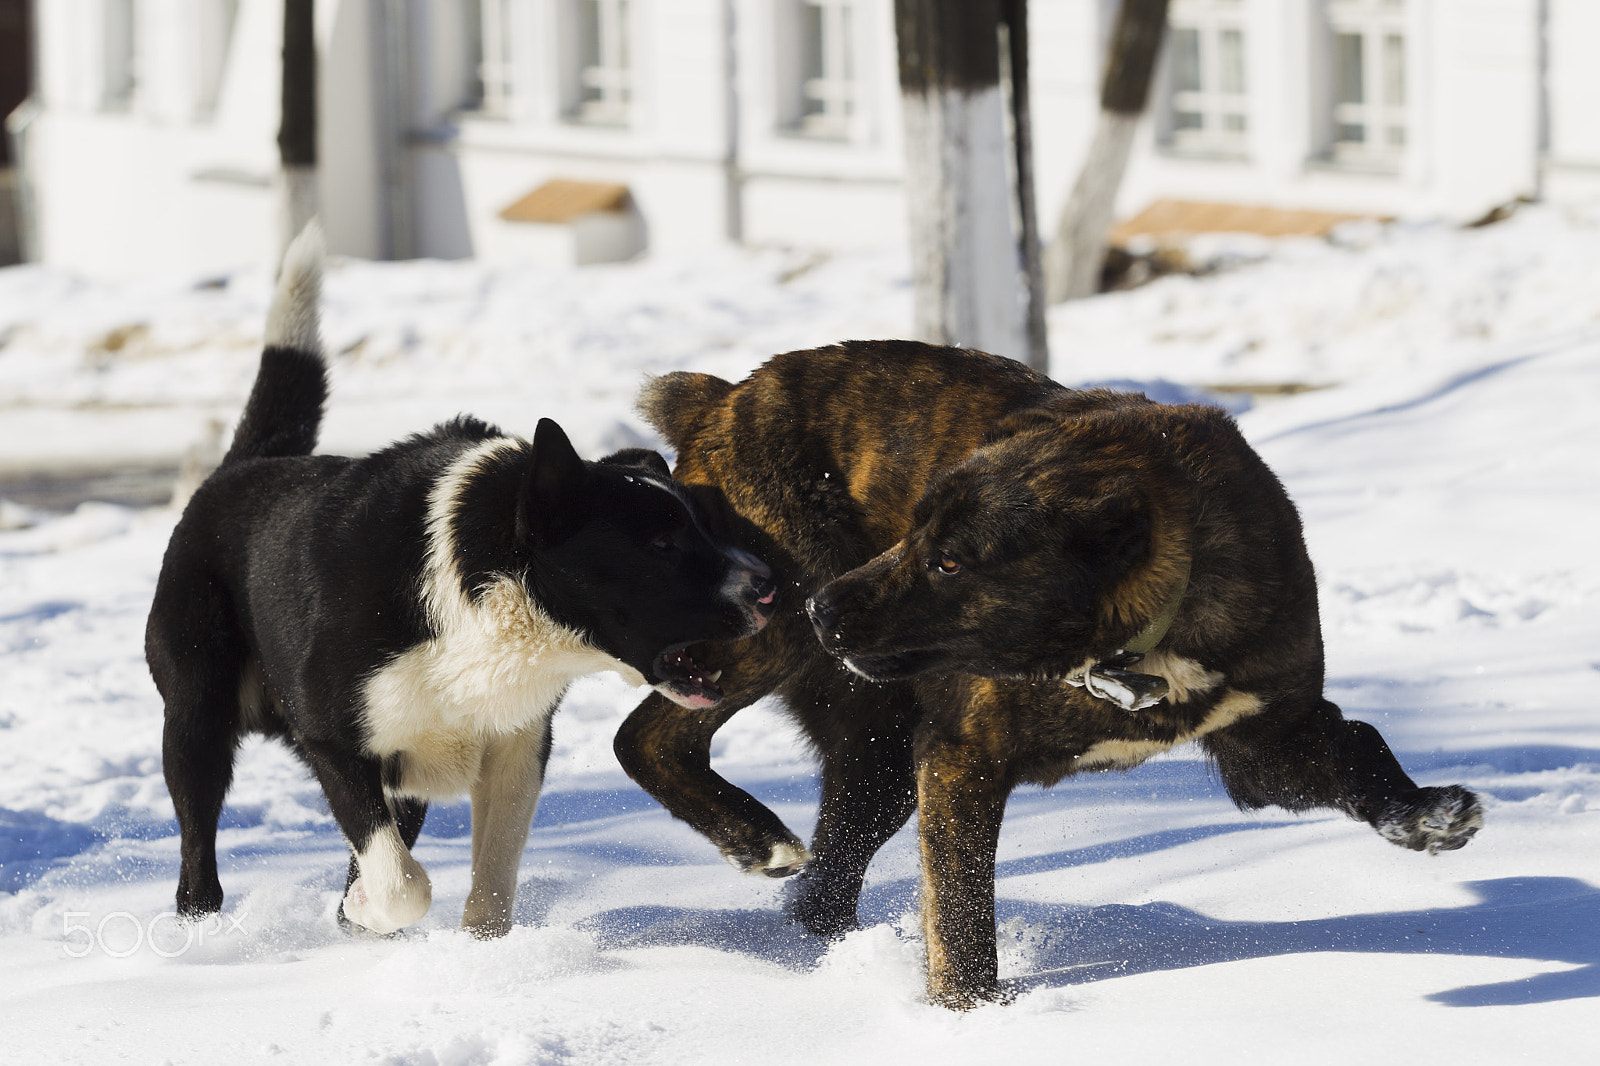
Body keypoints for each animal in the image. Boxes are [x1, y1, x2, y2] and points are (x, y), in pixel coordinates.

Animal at [145, 222, 774, 928]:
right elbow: (403, 887)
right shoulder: (335, 742)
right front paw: (368, 909)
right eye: (662, 543)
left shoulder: (515, 749)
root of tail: (242, 468)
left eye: (703, 525)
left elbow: (490, 894)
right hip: (196, 720)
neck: (485, 591)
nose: (769, 585)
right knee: (198, 861)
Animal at [608, 340, 1472, 1005]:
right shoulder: (962, 758)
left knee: (823, 881)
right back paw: (752, 837)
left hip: (878, 755)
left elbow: (1362, 748)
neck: (1136, 646)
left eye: (950, 560)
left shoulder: (1266, 743)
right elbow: (961, 914)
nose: (824, 608)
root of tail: (724, 397)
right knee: (644, 738)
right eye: (914, 533)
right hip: (765, 636)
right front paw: (970, 1019)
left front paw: (1424, 813)